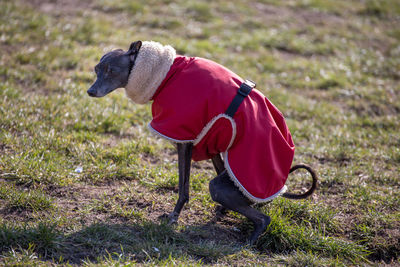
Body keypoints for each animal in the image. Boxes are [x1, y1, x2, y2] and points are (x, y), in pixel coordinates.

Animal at [88, 40, 318, 245]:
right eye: (96, 69)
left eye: (111, 70)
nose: (90, 92)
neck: (168, 74)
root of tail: (280, 187)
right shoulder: (209, 141)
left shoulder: (183, 138)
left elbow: (183, 186)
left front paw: (174, 216)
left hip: (221, 186)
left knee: (263, 218)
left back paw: (249, 240)